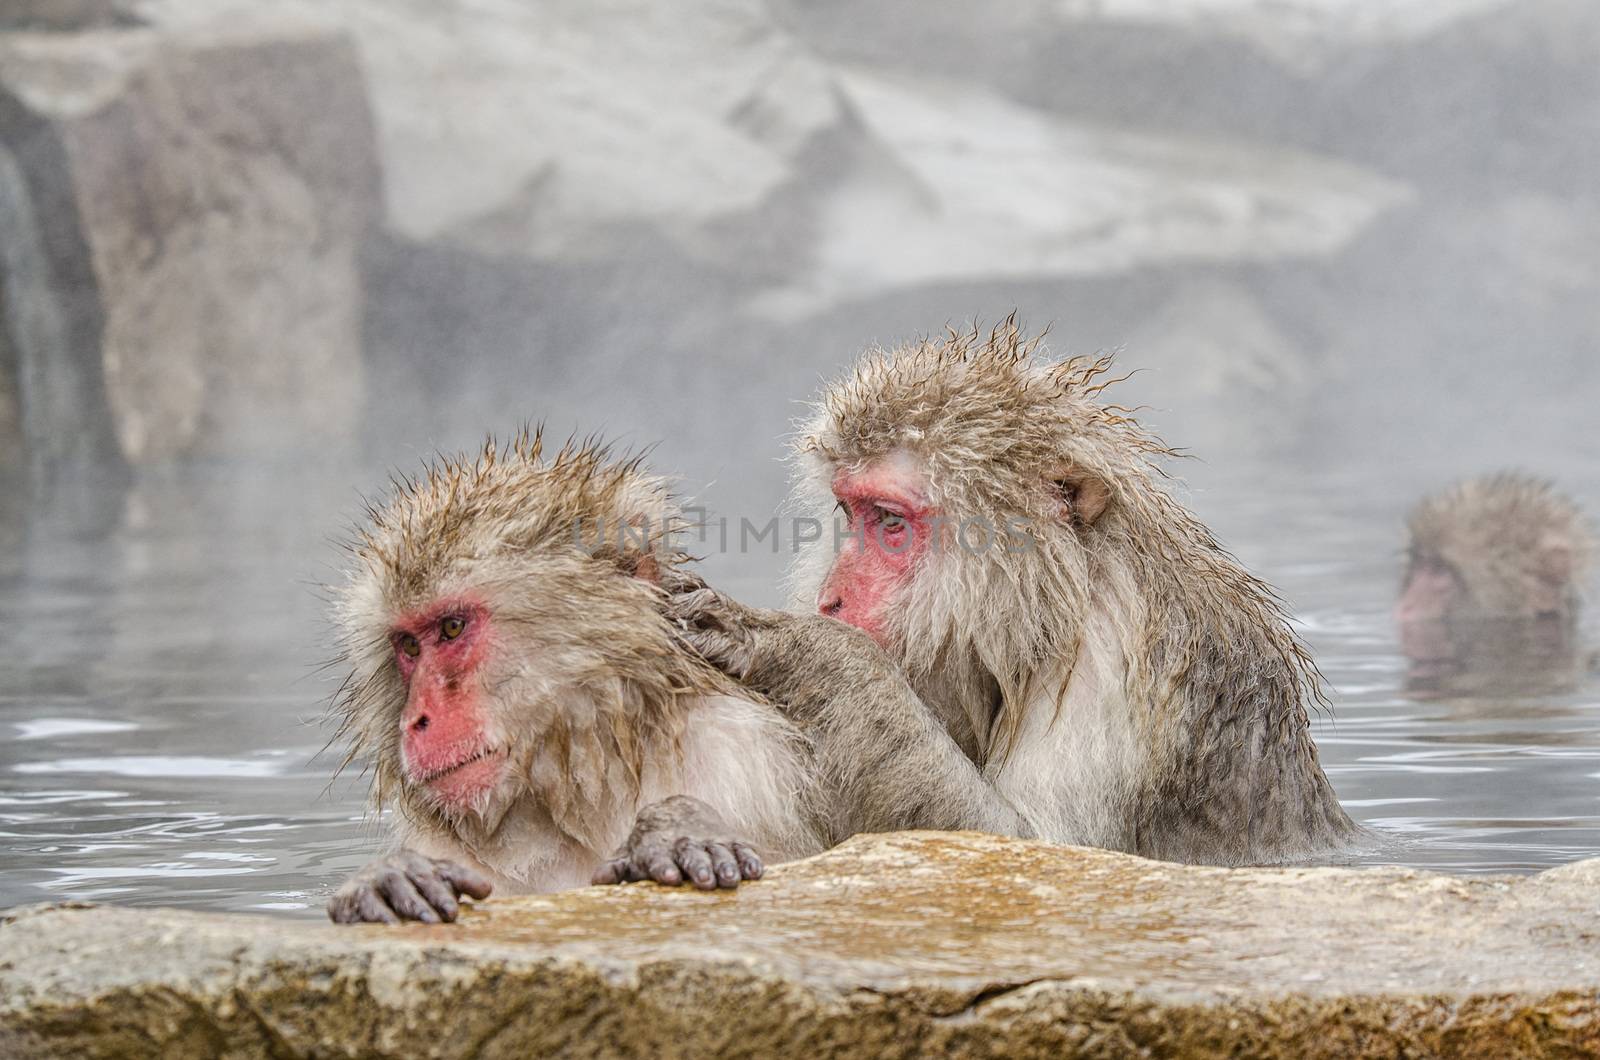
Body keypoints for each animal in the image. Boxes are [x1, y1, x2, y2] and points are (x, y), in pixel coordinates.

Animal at [321, 432, 1011, 922]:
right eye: (408, 647)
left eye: (452, 629)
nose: (417, 719)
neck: (593, 769)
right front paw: (388, 879)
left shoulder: (746, 765)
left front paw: (675, 839)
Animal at [668, 320, 1356, 871]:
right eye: (850, 513)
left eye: (889, 521)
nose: (830, 602)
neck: (1053, 604)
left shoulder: (1110, 663)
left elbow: (1030, 842)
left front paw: (803, 649)